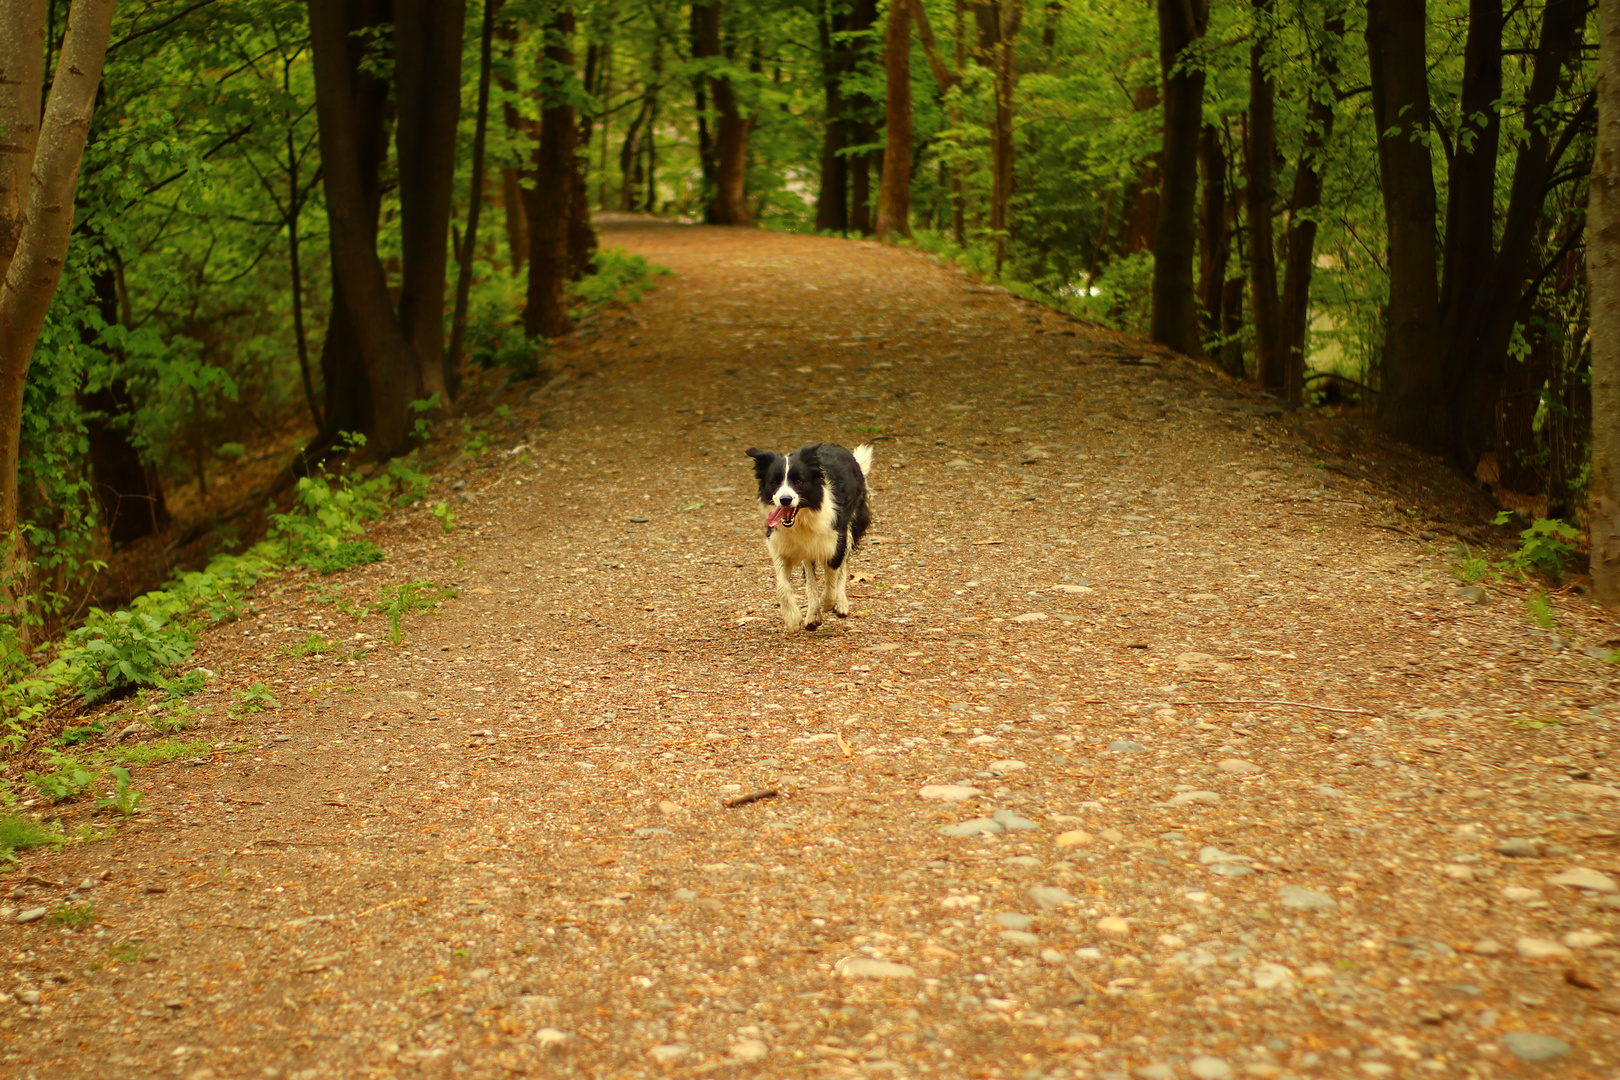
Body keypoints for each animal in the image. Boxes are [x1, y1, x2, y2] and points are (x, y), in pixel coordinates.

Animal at [745, 443, 874, 634]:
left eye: (799, 481)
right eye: (774, 482)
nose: (785, 499)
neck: (802, 519)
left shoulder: (835, 544)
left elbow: (832, 583)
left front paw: (828, 603)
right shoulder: (780, 545)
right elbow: (783, 587)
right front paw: (793, 618)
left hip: (852, 527)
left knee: (842, 569)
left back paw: (840, 604)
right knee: (810, 580)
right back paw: (812, 615)